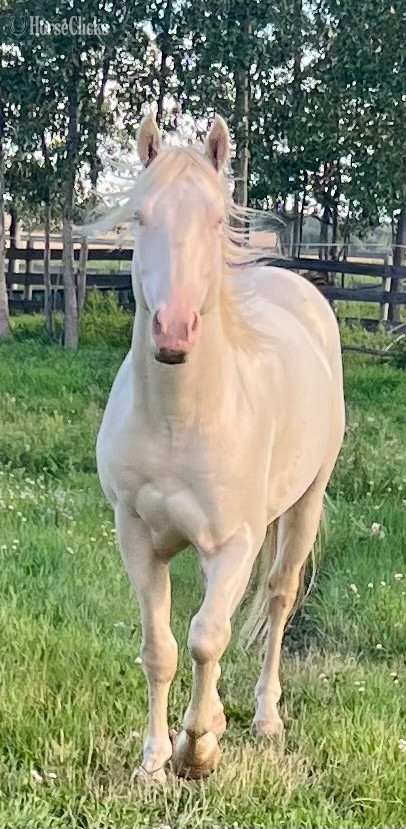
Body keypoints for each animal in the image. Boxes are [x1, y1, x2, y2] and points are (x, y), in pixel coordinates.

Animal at [90, 113, 345, 782]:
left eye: (211, 219)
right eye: (140, 216)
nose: (174, 332)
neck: (180, 423)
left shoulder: (235, 543)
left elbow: (206, 636)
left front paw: (197, 750)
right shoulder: (136, 537)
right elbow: (160, 647)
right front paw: (154, 761)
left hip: (305, 504)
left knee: (276, 601)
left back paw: (264, 718)